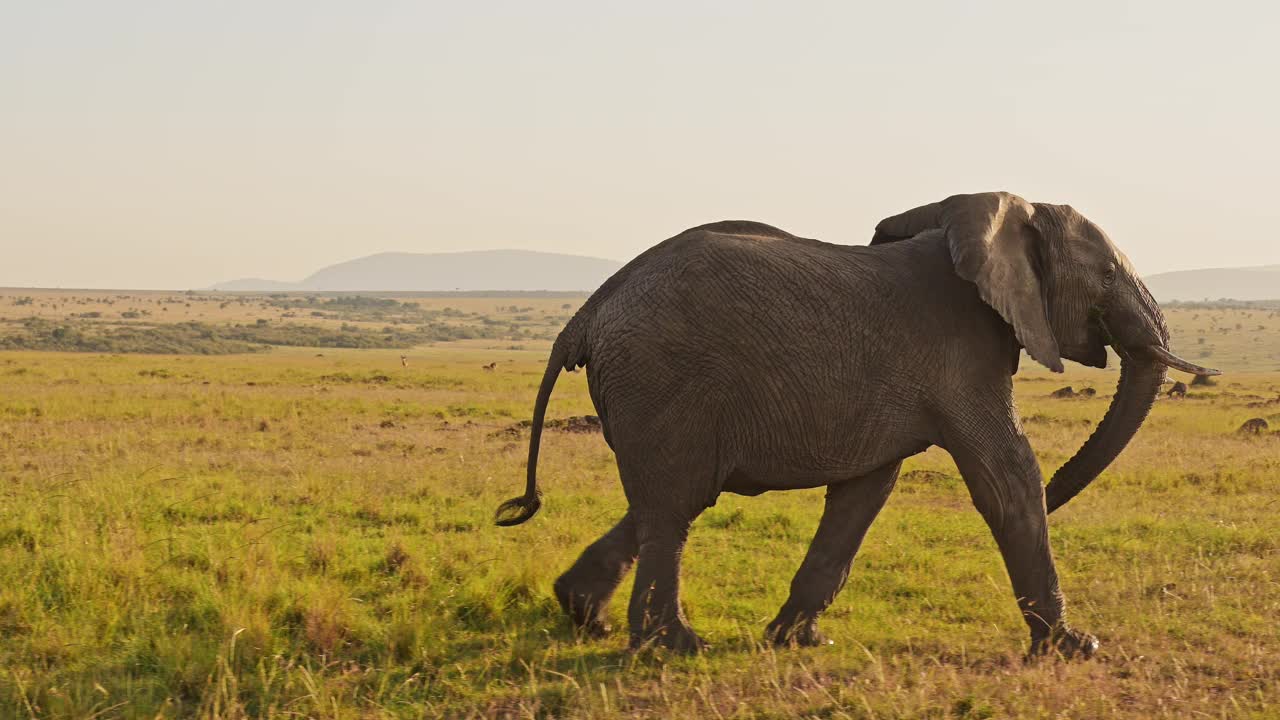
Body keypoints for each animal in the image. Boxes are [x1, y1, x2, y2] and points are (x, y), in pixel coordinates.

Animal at [491, 189, 1218, 655]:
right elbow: (1006, 477)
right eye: (1106, 273)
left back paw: (585, 616)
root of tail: (587, 313)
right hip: (662, 376)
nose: (1062, 494)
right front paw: (1075, 647)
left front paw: (798, 642)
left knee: (661, 502)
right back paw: (676, 647)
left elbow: (866, 492)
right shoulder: (962, 352)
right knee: (674, 509)